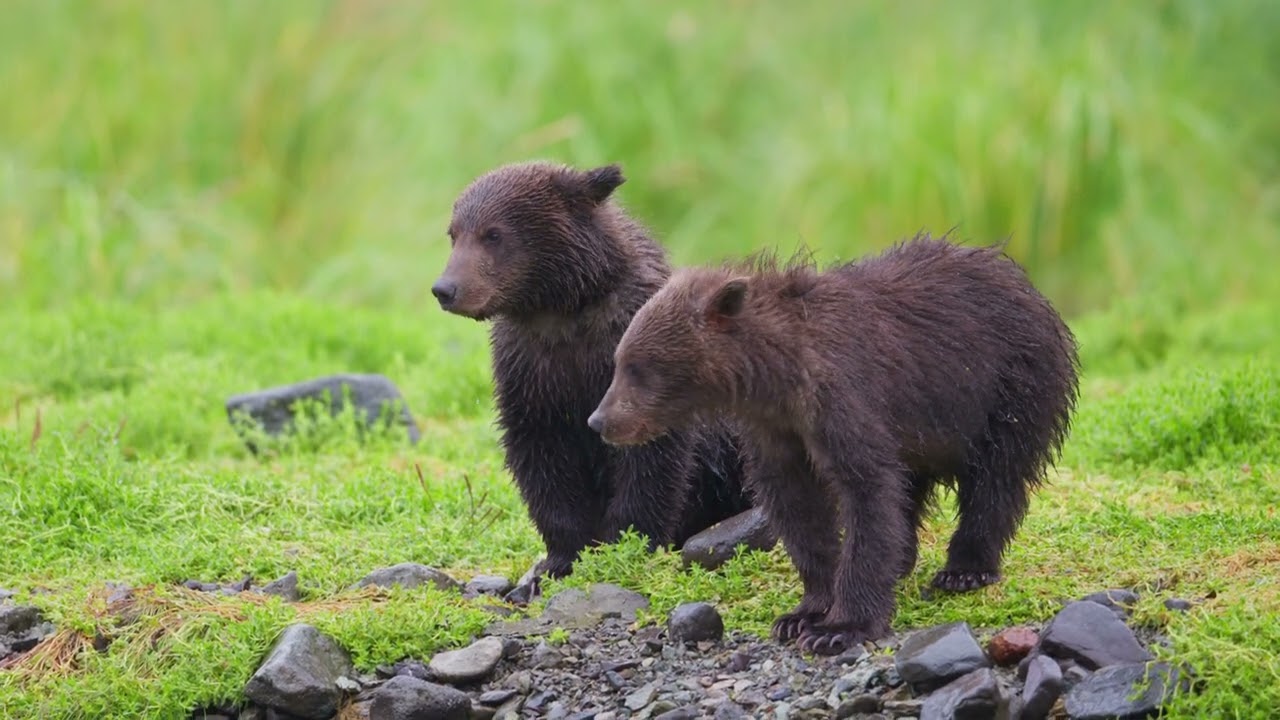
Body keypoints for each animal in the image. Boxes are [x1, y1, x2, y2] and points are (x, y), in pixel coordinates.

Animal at [431, 160, 753, 604]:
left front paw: (628, 542)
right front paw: (555, 562)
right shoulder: (531, 374)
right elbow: (541, 459)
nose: (445, 289)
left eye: (493, 234)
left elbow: (649, 460)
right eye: (454, 233)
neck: (562, 311)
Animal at [587, 233, 1081, 654]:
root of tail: (1024, 282)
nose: (600, 421)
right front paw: (804, 613)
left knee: (996, 477)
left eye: (639, 367)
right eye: (619, 360)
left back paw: (965, 569)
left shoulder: (842, 397)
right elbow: (798, 508)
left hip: (1010, 384)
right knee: (912, 486)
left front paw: (842, 626)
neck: (779, 374)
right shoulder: (776, 430)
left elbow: (866, 491)